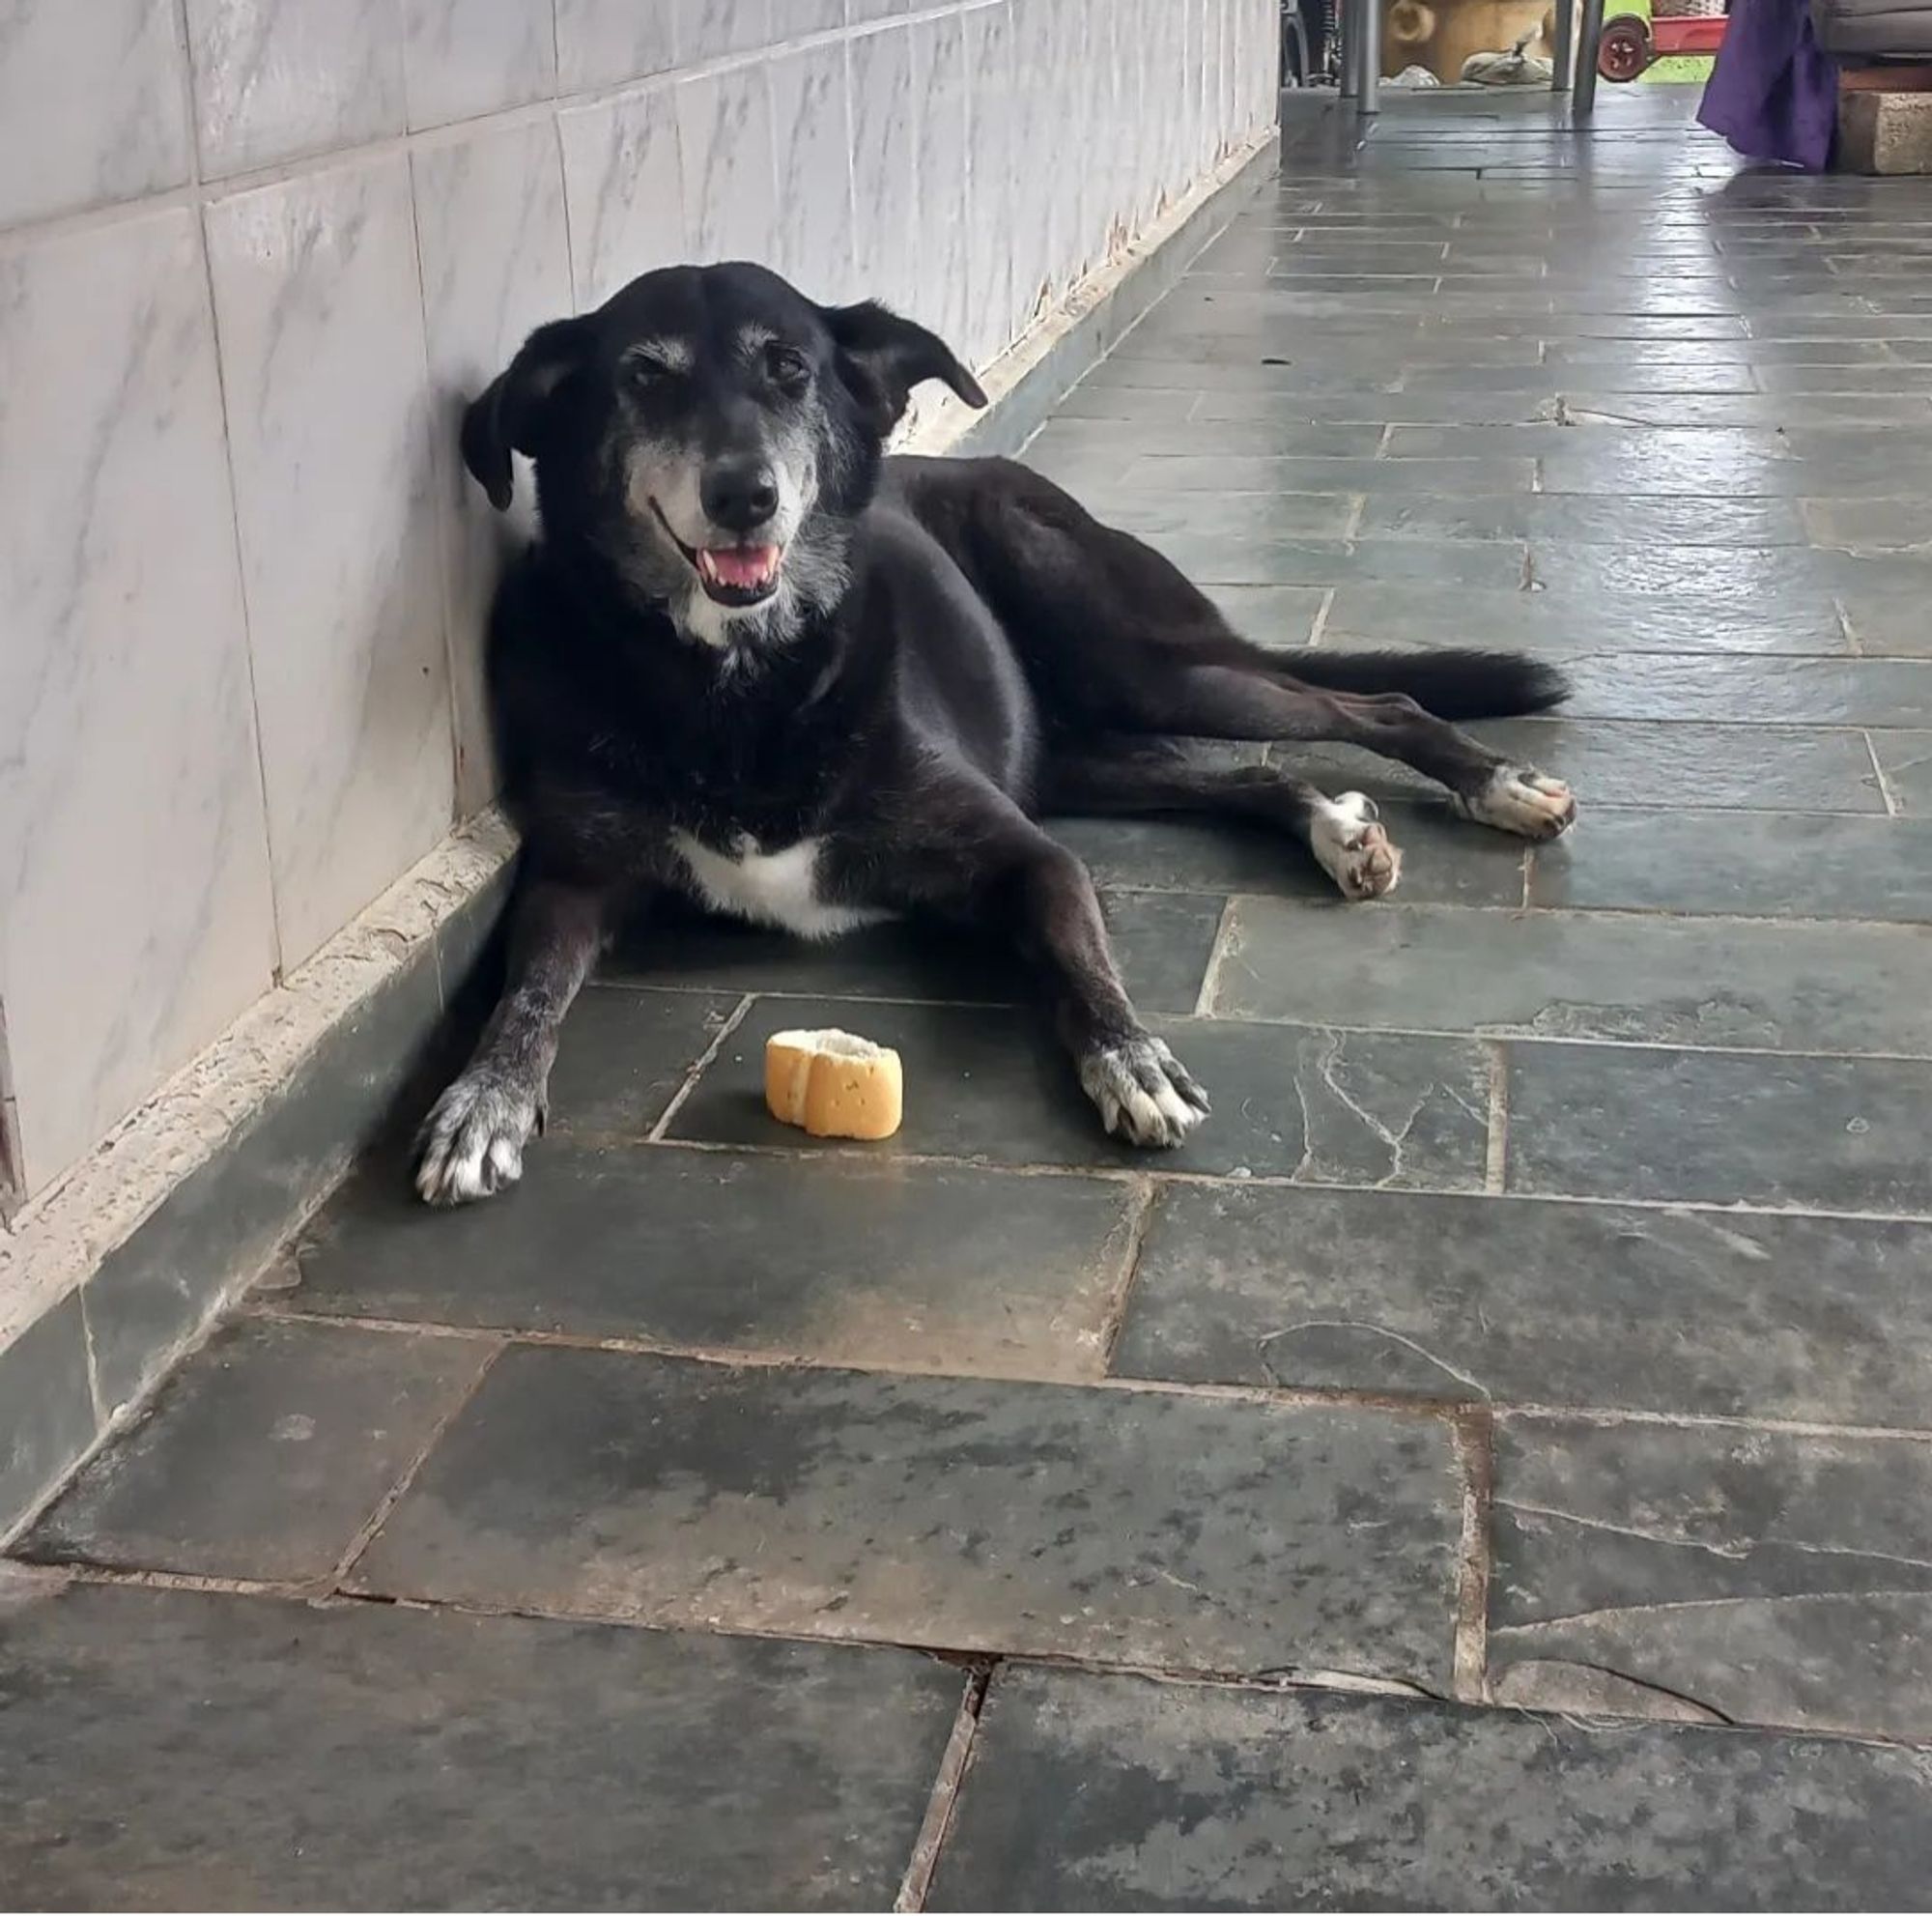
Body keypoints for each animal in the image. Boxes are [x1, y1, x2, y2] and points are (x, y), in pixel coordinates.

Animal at [415, 262, 1577, 1205]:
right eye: (643, 378)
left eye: (790, 369)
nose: (744, 495)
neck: (737, 685)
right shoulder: (573, 879)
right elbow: (526, 991)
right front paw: (482, 1100)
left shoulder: (1026, 852)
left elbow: (1076, 960)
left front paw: (1131, 1059)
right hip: (1077, 757)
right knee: (1243, 778)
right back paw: (1338, 830)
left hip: (1145, 664)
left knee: (1373, 707)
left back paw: (1496, 787)